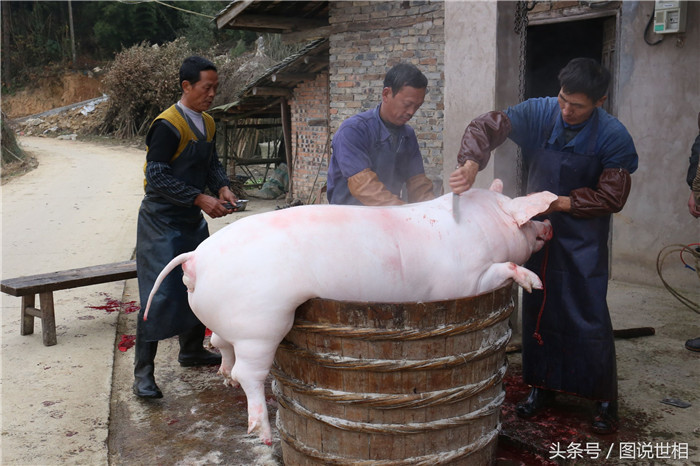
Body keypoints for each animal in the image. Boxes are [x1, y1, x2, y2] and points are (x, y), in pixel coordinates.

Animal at [145, 177, 556, 444]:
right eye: (525, 218)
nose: (549, 223)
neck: (483, 227)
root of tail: (195, 258)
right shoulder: (466, 281)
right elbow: (504, 268)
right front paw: (535, 281)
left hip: (229, 319)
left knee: (220, 345)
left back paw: (225, 378)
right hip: (260, 324)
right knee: (249, 372)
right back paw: (262, 434)